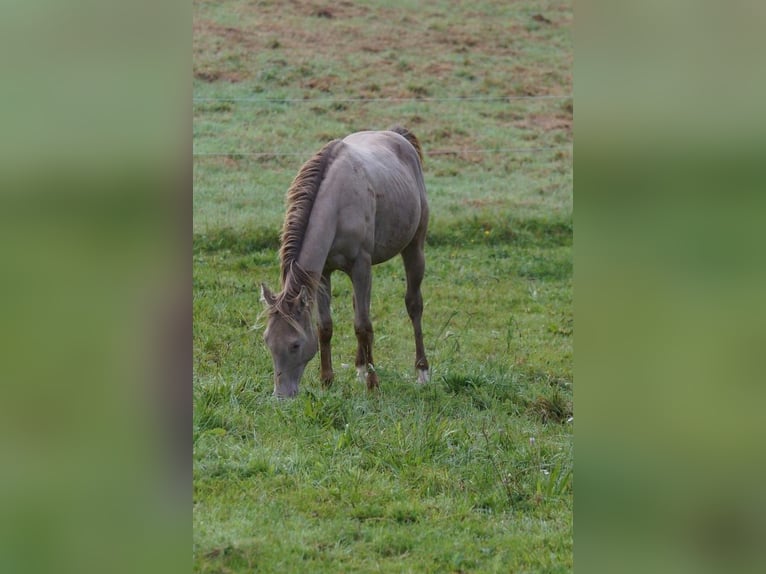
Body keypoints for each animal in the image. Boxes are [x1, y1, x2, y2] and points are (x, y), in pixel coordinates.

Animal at [260, 125, 432, 400]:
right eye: (267, 340)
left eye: (295, 344)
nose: (281, 396)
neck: (337, 203)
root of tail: (398, 135)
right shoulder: (323, 273)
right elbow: (325, 327)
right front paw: (327, 381)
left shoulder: (361, 266)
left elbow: (363, 326)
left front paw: (373, 384)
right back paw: (360, 367)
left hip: (414, 248)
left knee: (414, 305)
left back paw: (422, 372)